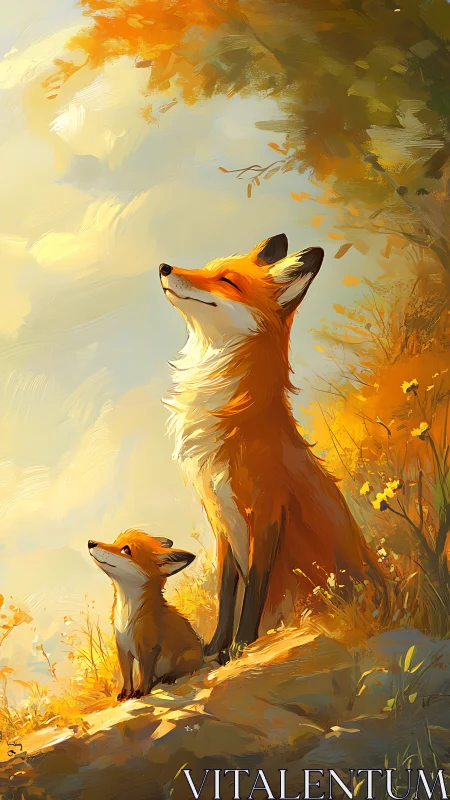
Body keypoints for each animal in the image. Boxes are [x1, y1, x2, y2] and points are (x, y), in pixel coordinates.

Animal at [88, 530, 203, 699]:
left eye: (126, 550)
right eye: (115, 542)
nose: (90, 542)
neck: (127, 616)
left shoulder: (148, 648)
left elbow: (144, 674)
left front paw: (141, 691)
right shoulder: (123, 647)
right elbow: (127, 677)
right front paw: (126, 694)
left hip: (187, 656)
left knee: (185, 669)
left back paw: (170, 676)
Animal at [159, 233, 385, 661]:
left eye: (227, 281)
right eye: (206, 268)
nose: (164, 267)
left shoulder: (266, 510)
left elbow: (254, 590)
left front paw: (241, 646)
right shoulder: (220, 520)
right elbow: (226, 594)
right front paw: (215, 648)